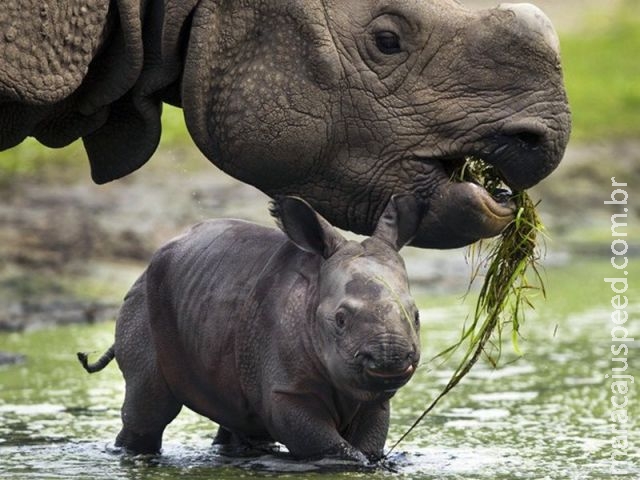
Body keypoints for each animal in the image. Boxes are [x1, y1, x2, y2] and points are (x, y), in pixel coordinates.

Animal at [80, 195, 422, 462]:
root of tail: (144, 268)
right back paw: (133, 455)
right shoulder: (285, 391)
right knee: (149, 410)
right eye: (340, 320)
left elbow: (369, 444)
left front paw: (374, 462)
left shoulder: (374, 396)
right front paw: (357, 463)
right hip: (145, 301)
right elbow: (333, 448)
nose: (391, 359)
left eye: (416, 316)